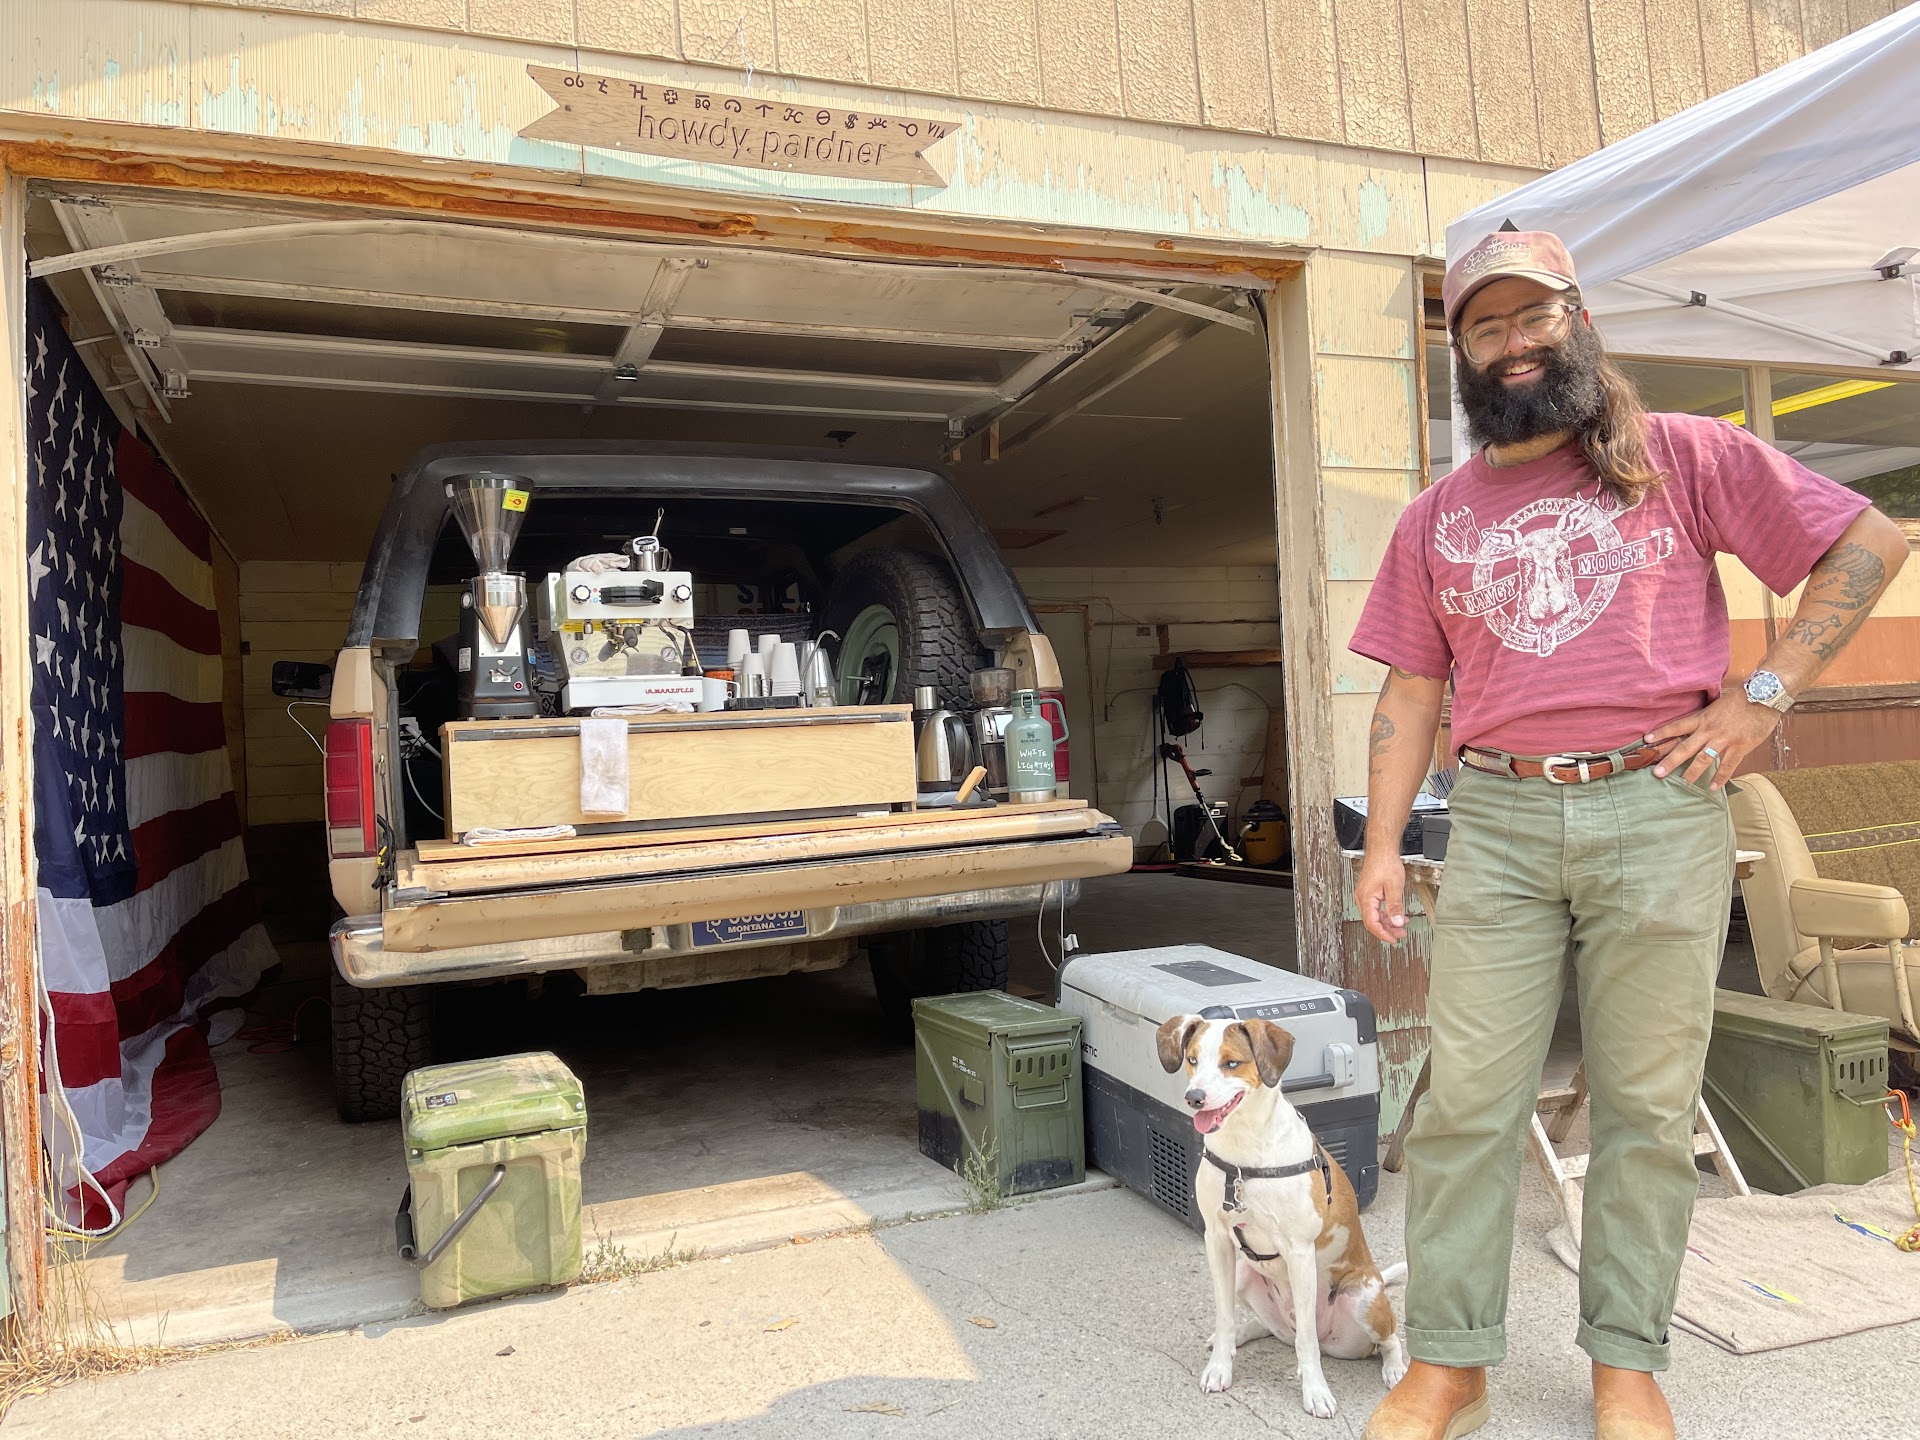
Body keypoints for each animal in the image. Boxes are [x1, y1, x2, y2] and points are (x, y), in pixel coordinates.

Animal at [1157, 1013, 1408, 1419]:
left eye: (1231, 1063)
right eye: (1192, 1060)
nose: (1194, 1098)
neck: (1243, 1153)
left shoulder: (1300, 1252)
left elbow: (1307, 1342)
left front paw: (1316, 1391)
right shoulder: (1217, 1242)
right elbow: (1224, 1316)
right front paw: (1220, 1367)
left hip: (1365, 1299)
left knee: (1385, 1340)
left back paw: (1394, 1369)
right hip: (1245, 1274)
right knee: (1267, 1328)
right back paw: (1236, 1339)